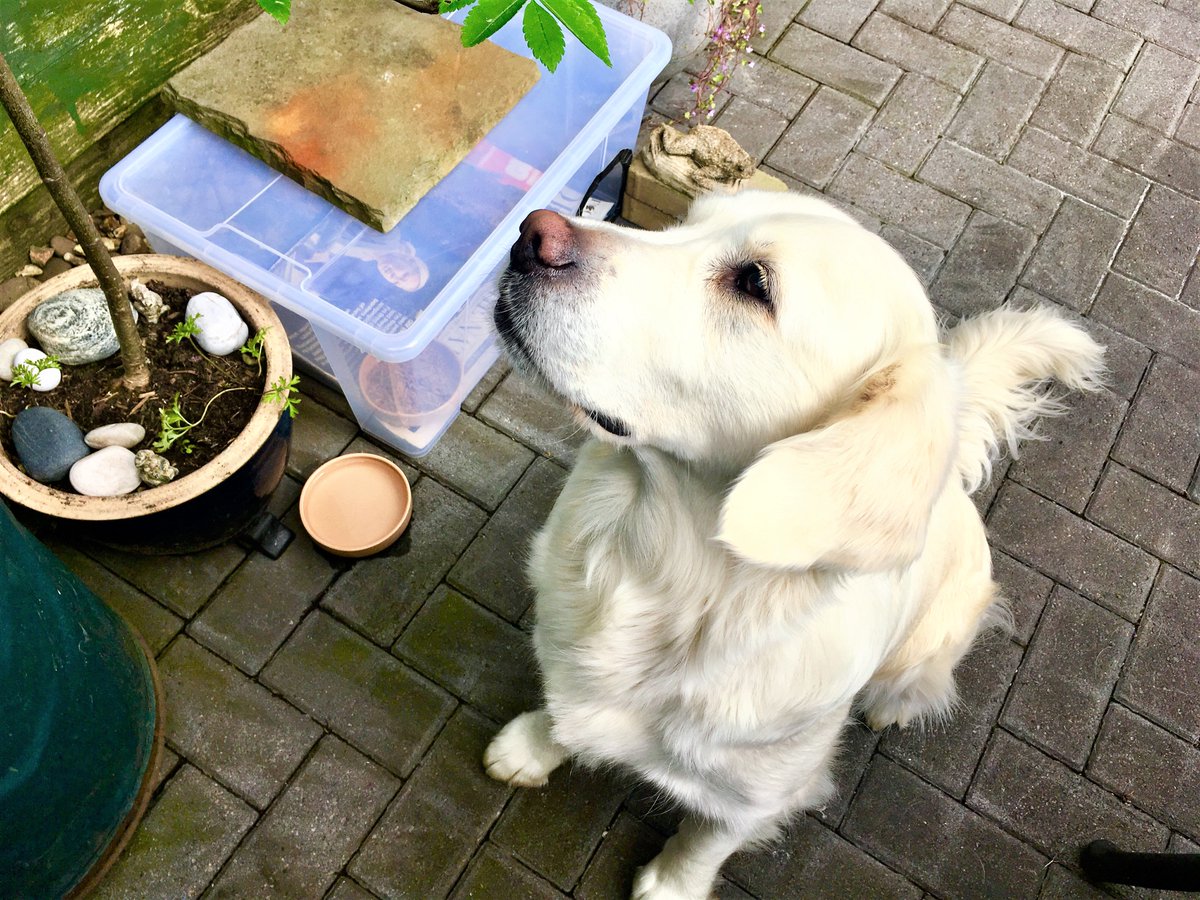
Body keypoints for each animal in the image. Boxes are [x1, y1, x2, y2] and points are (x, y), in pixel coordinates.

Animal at [482, 192, 1099, 900]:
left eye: (754, 284)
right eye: (686, 221)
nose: (531, 235)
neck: (665, 579)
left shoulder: (759, 794)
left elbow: (706, 840)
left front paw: (673, 884)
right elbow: (561, 709)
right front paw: (530, 748)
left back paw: (893, 706)